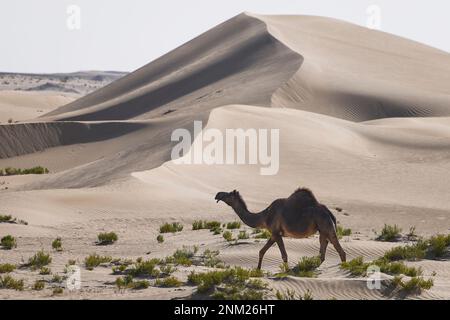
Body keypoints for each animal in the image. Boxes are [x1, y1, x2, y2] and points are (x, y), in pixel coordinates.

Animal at [216, 189, 346, 268]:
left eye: (228, 194)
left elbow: (284, 255)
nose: (217, 194)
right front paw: (257, 270)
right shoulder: (274, 234)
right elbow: (261, 251)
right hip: (322, 230)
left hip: (327, 226)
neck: (264, 217)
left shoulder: (276, 233)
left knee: (340, 250)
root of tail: (329, 213)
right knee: (322, 252)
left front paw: (286, 272)